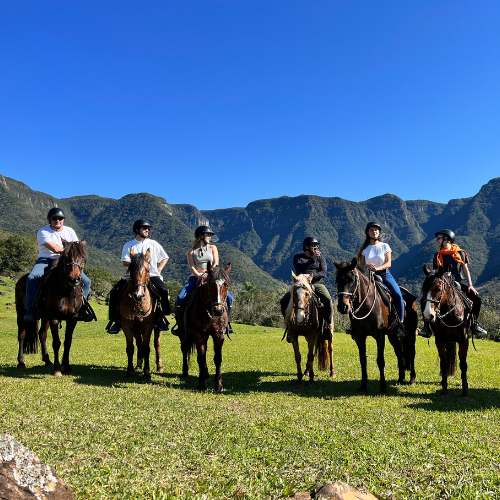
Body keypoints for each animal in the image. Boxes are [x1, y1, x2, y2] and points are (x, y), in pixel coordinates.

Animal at [120, 248, 163, 380]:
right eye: (131, 270)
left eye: (148, 270)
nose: (139, 295)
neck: (137, 304)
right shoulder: (127, 326)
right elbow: (130, 349)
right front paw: (129, 371)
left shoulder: (148, 327)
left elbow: (146, 348)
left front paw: (147, 372)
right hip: (136, 329)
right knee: (139, 343)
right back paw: (139, 364)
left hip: (157, 328)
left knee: (156, 344)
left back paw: (159, 366)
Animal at [181, 262, 231, 390]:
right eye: (211, 284)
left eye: (226, 284)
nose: (218, 310)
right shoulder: (199, 335)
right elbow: (201, 358)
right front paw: (201, 383)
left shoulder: (219, 335)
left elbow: (217, 358)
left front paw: (219, 385)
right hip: (185, 334)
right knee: (184, 349)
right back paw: (185, 373)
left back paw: (207, 375)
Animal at [336, 258, 418, 394]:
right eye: (337, 280)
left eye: (352, 280)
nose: (343, 307)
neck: (366, 305)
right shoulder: (359, 336)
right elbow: (363, 360)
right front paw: (363, 386)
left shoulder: (380, 336)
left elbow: (380, 360)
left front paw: (383, 387)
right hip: (392, 335)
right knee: (399, 353)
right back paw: (400, 379)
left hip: (411, 333)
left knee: (411, 353)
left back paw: (412, 379)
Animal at [424, 264, 470, 396]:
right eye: (423, 289)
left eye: (438, 288)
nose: (428, 315)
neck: (451, 315)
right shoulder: (440, 340)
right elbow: (444, 363)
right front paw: (444, 389)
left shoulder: (464, 340)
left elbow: (463, 364)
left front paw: (465, 391)